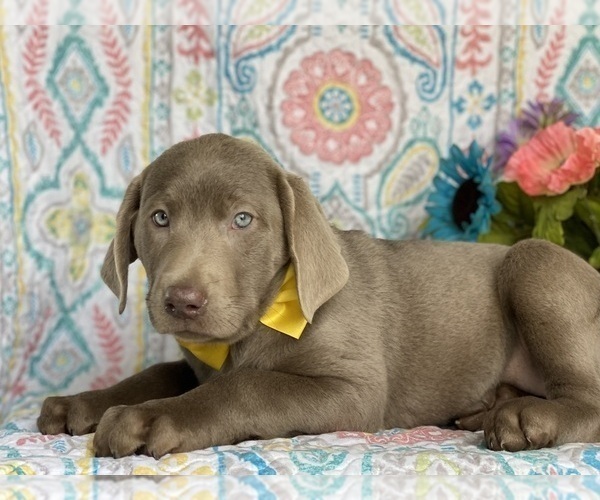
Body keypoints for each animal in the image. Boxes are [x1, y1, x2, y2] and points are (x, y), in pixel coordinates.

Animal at [36, 133, 600, 458]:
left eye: (243, 220)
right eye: (159, 218)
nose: (182, 301)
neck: (266, 315)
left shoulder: (353, 390)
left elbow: (247, 386)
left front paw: (151, 418)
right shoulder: (199, 362)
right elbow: (159, 372)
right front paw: (83, 402)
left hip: (535, 264)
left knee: (587, 398)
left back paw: (523, 418)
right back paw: (487, 407)